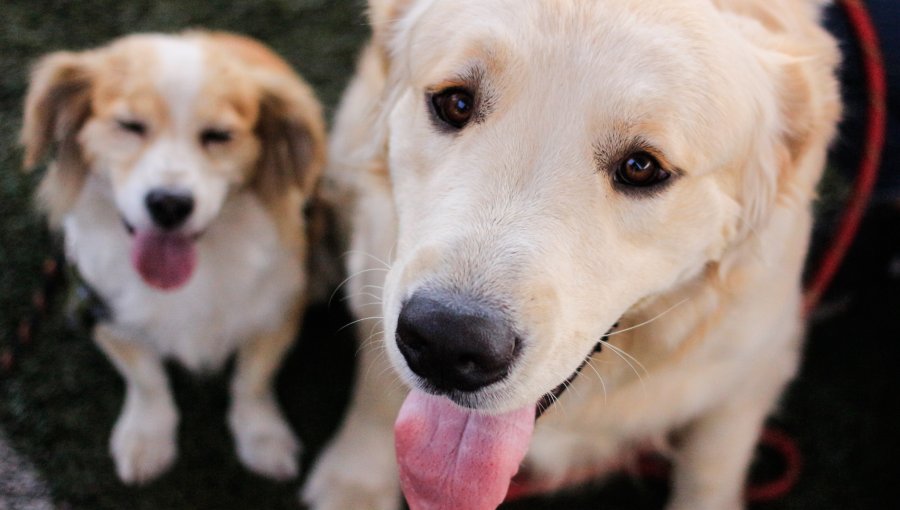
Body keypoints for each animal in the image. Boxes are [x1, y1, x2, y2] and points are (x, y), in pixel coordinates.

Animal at [19, 32, 324, 486]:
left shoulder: (278, 309)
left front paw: (262, 437)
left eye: (219, 135)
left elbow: (252, 381)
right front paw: (147, 438)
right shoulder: (101, 308)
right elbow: (146, 380)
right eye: (129, 126)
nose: (169, 204)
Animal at [306, 0, 840, 510]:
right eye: (455, 103)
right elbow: (377, 387)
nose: (446, 342)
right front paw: (355, 482)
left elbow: (711, 465)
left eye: (642, 167)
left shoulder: (756, 364)